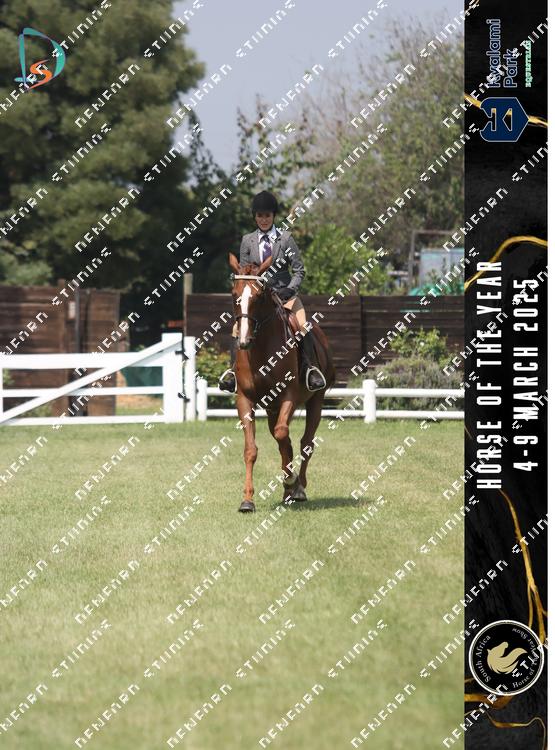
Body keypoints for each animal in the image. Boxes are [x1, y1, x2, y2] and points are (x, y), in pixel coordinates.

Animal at [228, 252, 336, 512]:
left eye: (258, 297)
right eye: (235, 295)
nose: (244, 341)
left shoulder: (288, 395)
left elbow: (283, 434)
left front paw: (291, 480)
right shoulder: (244, 400)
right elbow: (252, 449)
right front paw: (247, 500)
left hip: (316, 400)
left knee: (305, 442)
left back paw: (298, 487)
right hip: (271, 408)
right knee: (284, 442)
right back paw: (289, 487)